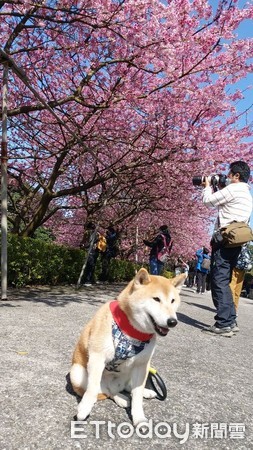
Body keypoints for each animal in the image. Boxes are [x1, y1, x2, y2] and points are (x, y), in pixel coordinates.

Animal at [70, 268, 185, 428]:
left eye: (173, 301)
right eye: (156, 299)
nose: (172, 321)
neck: (132, 333)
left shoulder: (142, 365)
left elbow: (137, 395)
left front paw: (139, 417)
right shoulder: (97, 358)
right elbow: (92, 389)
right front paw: (84, 408)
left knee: (127, 388)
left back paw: (144, 392)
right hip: (77, 373)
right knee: (106, 391)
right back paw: (121, 399)